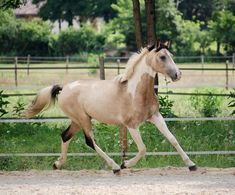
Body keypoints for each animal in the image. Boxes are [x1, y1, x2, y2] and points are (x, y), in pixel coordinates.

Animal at [24, 41, 196, 174]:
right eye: (162, 57)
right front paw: (125, 164)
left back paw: (57, 164)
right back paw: (115, 167)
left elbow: (173, 139)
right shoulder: (131, 125)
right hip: (83, 119)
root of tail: (64, 88)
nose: (178, 75)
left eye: (171, 55)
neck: (135, 92)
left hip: (78, 120)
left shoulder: (155, 117)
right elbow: (142, 148)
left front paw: (191, 165)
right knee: (89, 141)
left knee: (65, 136)